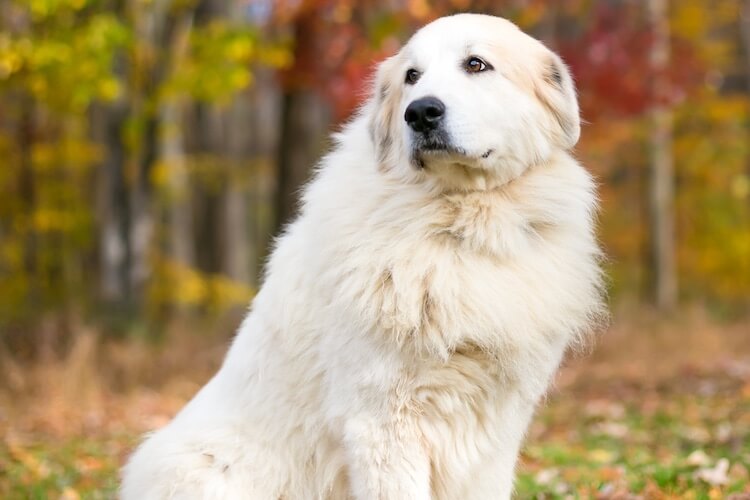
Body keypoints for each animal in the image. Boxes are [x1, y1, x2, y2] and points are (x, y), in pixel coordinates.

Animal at [122, 13, 604, 498]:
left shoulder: (496, 428)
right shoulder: (384, 421)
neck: (462, 223)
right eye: (412, 76)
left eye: (476, 64)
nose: (420, 112)